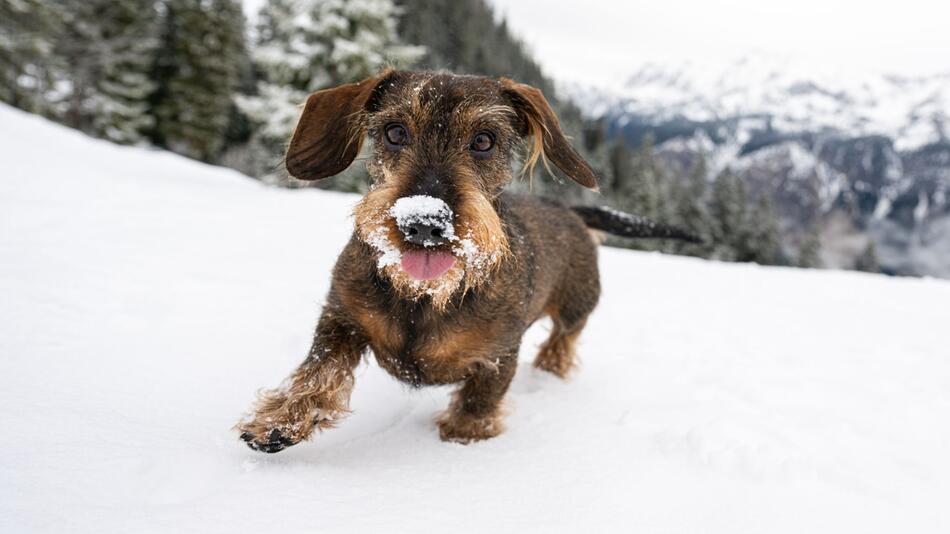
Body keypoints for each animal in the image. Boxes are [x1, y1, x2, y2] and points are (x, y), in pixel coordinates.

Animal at [238, 68, 700, 452]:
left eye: (483, 140)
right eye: (394, 131)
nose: (425, 224)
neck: (423, 296)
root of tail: (571, 211)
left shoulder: (498, 356)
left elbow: (479, 402)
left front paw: (465, 439)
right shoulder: (341, 318)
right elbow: (320, 368)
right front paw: (282, 419)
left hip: (577, 308)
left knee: (562, 340)